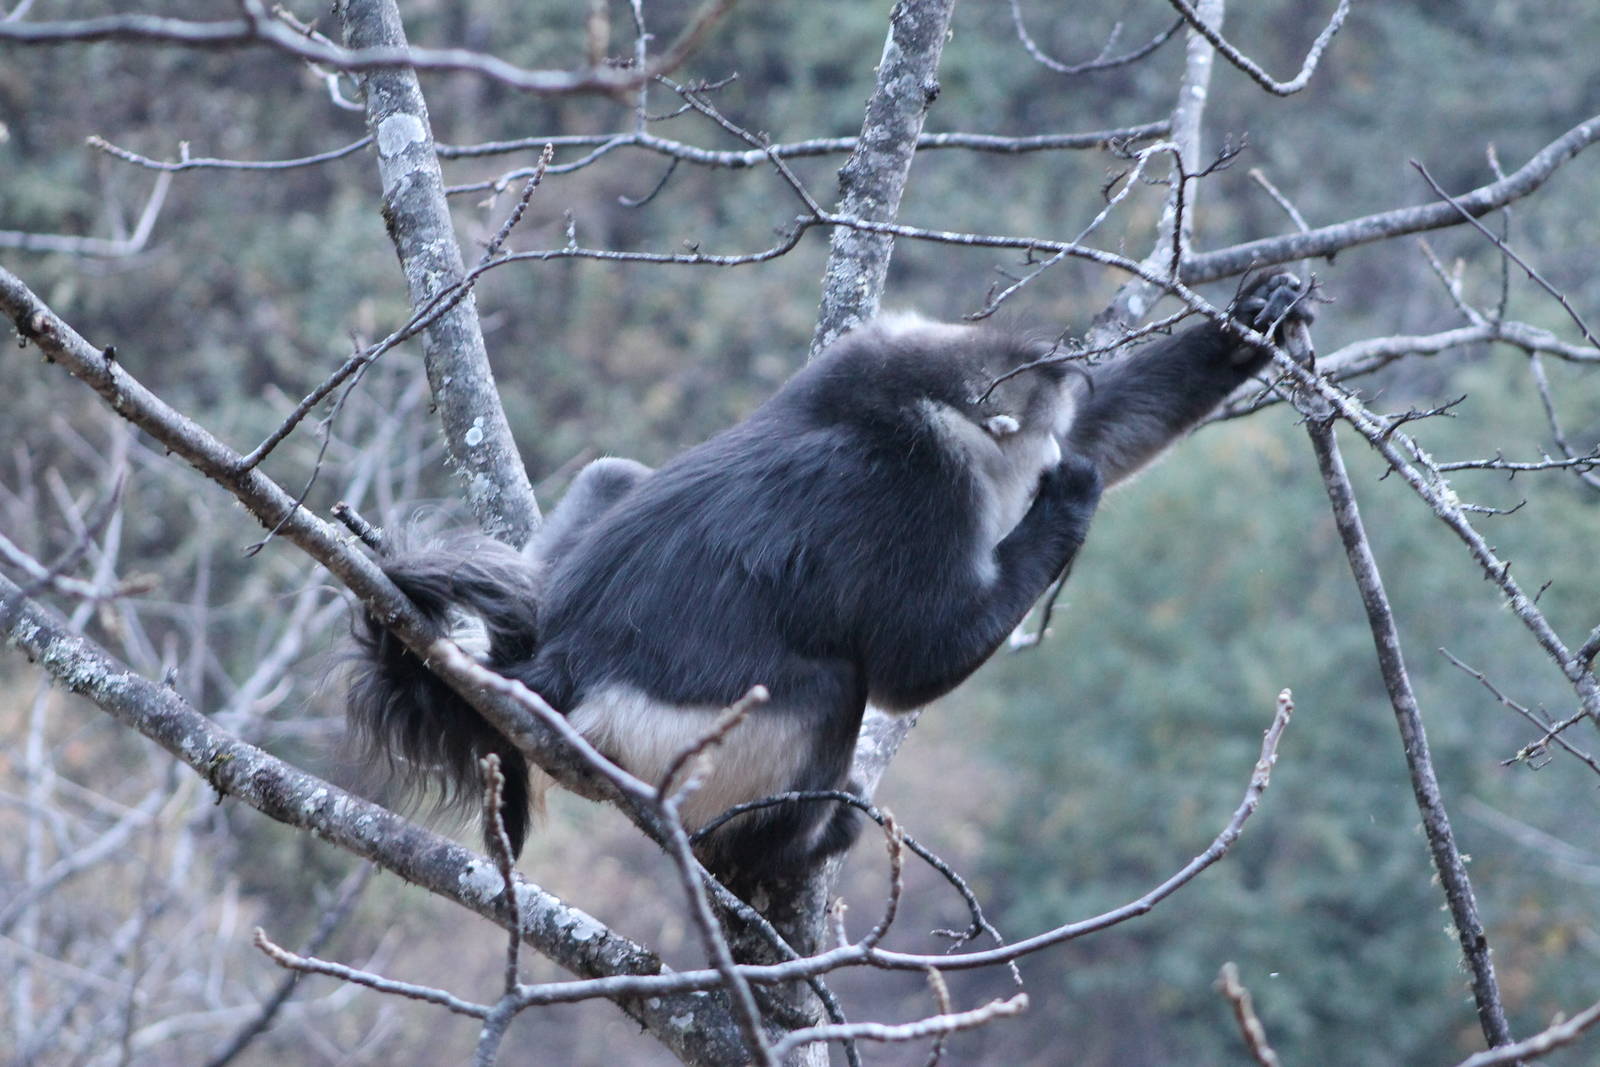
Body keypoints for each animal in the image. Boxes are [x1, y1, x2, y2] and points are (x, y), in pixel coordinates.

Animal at [347, 272, 1313, 885]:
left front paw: (1252, 324)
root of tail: (552, 669)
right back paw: (783, 850)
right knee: (828, 684)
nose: (1070, 368)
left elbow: (1107, 433)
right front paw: (1070, 495)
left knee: (614, 478)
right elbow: (912, 665)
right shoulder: (915, 498)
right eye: (1043, 388)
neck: (891, 402)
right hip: (667, 746)